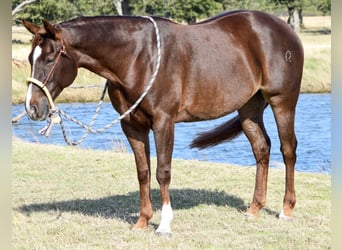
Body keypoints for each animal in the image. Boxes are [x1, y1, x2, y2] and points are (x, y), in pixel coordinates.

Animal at [22, 10, 304, 236]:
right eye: (29, 59)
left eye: (49, 59)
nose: (32, 108)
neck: (137, 57)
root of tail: (285, 29)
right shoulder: (132, 126)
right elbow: (143, 172)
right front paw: (142, 221)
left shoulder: (163, 122)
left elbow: (163, 172)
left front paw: (164, 225)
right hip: (248, 108)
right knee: (261, 149)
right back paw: (254, 209)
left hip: (282, 102)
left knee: (288, 150)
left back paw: (286, 209)